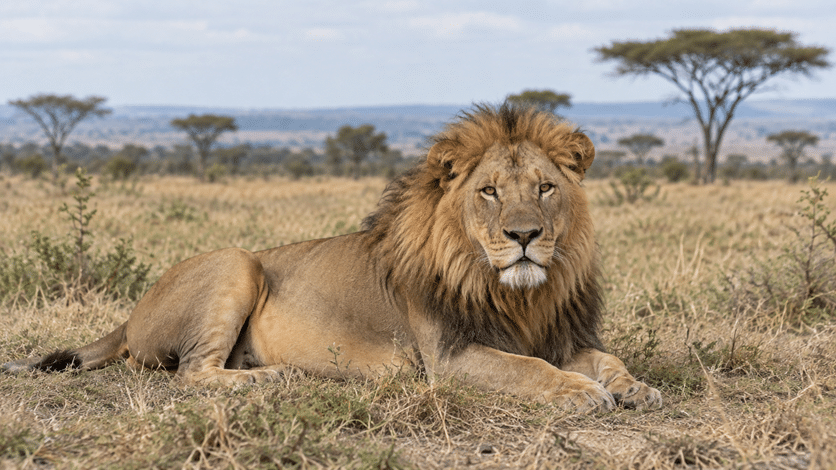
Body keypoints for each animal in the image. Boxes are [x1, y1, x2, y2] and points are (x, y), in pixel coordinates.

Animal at [4, 104, 661, 412]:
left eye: (546, 188)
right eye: (490, 191)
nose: (525, 235)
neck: (519, 292)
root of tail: (130, 315)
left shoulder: (559, 335)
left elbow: (606, 359)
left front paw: (636, 388)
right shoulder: (448, 357)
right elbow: (527, 369)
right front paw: (579, 393)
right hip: (236, 261)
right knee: (192, 373)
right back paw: (272, 377)